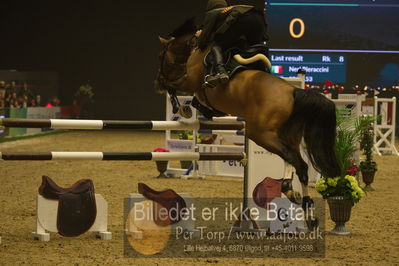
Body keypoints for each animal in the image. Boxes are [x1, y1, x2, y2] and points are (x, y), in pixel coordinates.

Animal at [155, 20, 342, 222]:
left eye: (161, 55)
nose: (157, 82)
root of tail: (294, 91)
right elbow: (196, 100)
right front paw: (193, 108)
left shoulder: (189, 82)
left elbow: (173, 87)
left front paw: (182, 108)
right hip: (286, 133)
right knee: (293, 157)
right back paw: (296, 198)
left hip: (261, 134)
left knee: (295, 159)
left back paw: (303, 207)